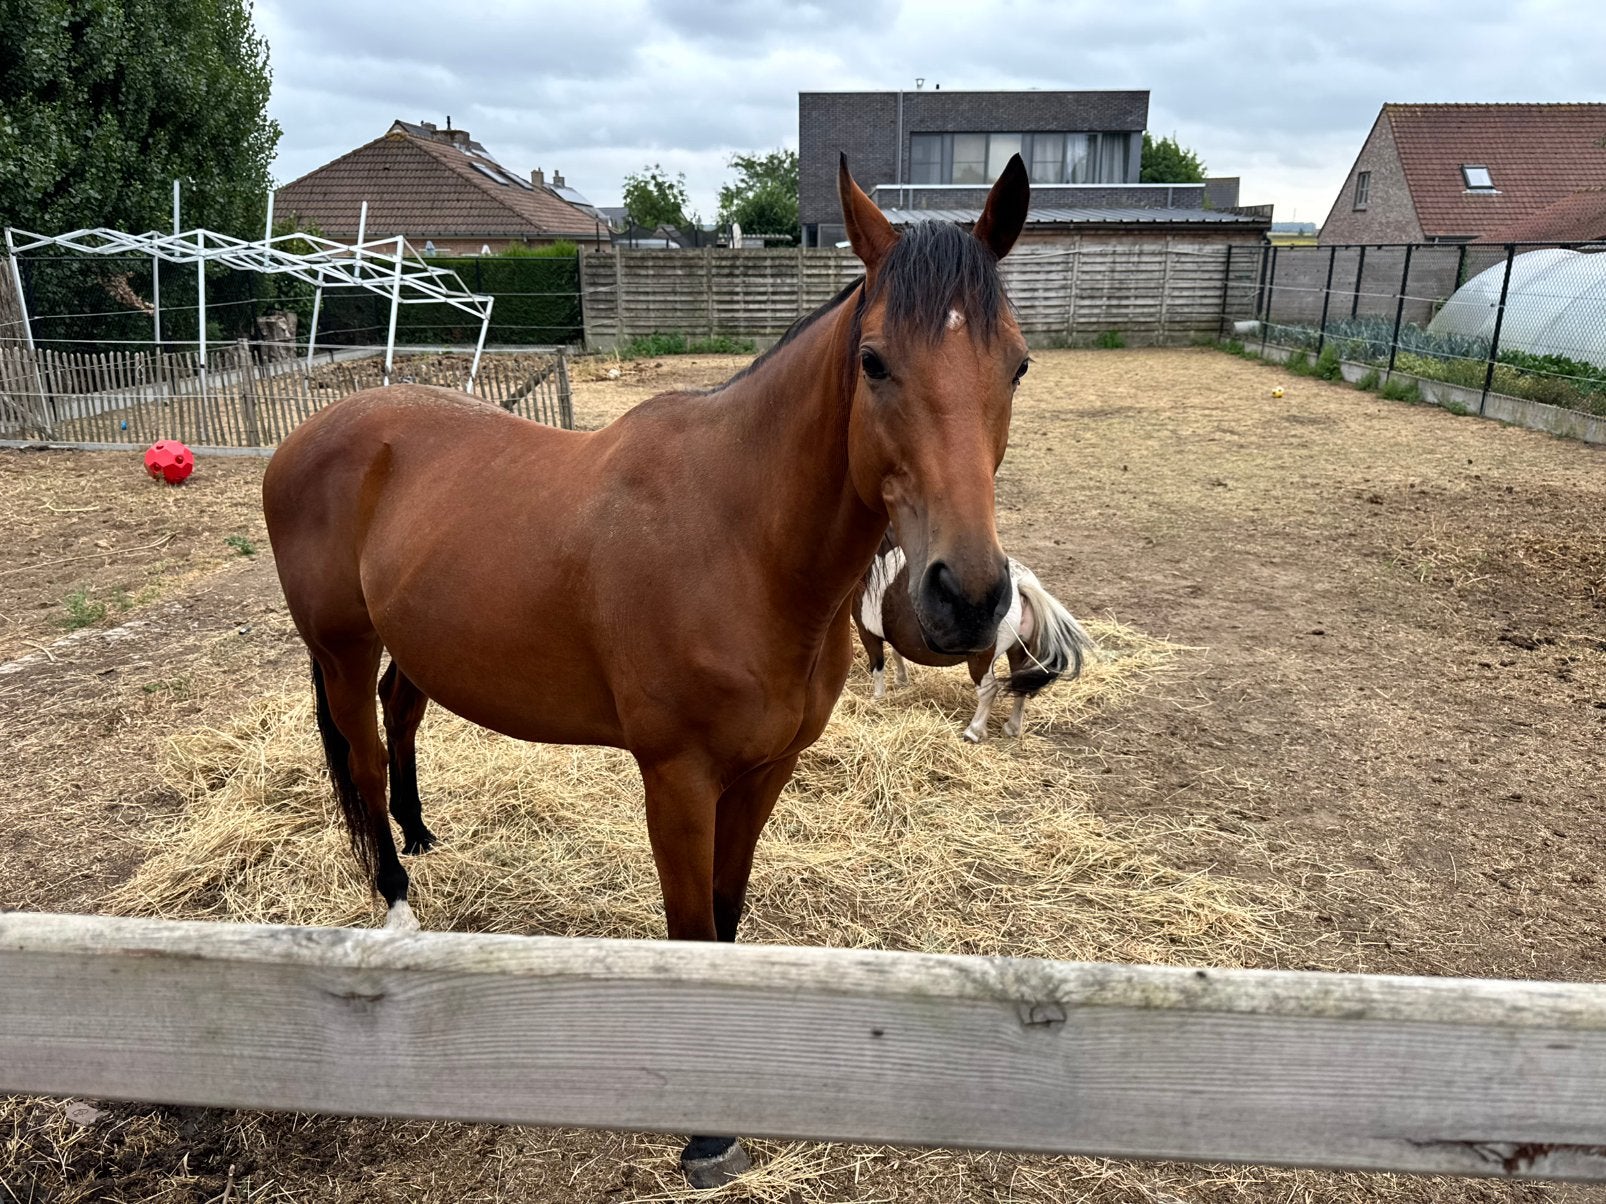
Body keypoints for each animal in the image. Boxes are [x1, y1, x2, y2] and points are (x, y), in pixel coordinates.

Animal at [261, 154, 1031, 1186]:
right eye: (873, 361)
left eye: (1017, 364)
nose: (968, 596)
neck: (739, 539)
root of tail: (313, 433)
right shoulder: (677, 779)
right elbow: (689, 926)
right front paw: (706, 1137)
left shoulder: (765, 771)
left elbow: (727, 917)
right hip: (341, 650)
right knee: (365, 758)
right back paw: (397, 908)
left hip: (414, 646)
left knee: (400, 718)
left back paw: (422, 836)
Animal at [854, 534, 1095, 742]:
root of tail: (1020, 584)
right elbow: (897, 654)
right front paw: (901, 680)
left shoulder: (867, 633)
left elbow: (877, 666)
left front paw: (877, 698)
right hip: (1018, 649)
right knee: (1020, 684)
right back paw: (1012, 728)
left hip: (982, 659)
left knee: (989, 690)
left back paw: (974, 731)